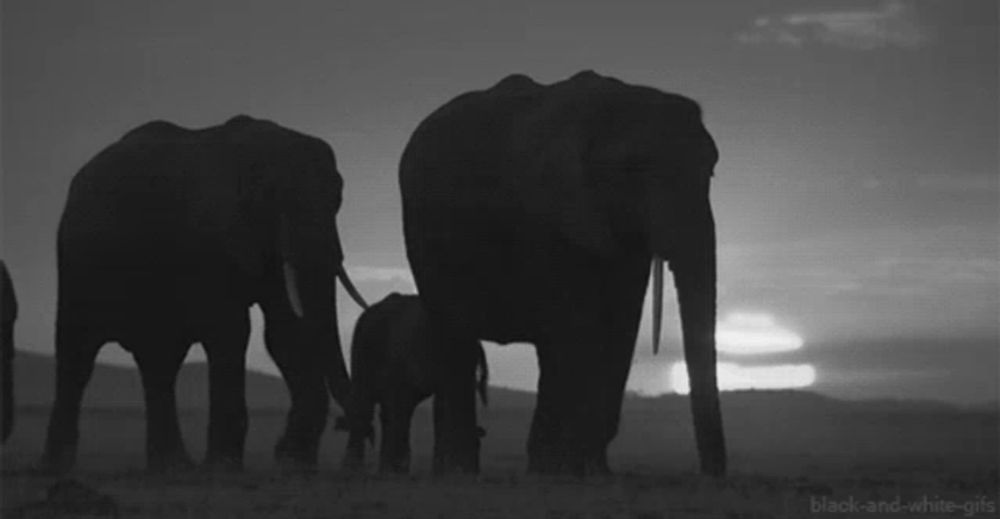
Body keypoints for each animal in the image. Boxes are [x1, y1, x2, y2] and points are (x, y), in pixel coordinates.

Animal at [43, 116, 370, 474]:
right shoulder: (210, 237)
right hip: (76, 265)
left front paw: (292, 462)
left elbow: (285, 332)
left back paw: (172, 466)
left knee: (160, 362)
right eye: (274, 196)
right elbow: (230, 330)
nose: (346, 426)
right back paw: (59, 467)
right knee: (77, 356)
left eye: (337, 199)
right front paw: (226, 466)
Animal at [398, 71, 728, 478]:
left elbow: (620, 325)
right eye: (633, 168)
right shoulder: (548, 217)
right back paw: (460, 471)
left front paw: (593, 472)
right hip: (425, 242)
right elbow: (576, 326)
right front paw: (568, 470)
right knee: (457, 341)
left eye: (710, 169)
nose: (713, 476)